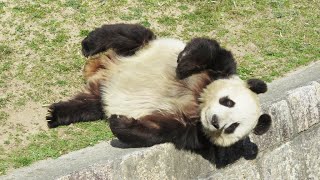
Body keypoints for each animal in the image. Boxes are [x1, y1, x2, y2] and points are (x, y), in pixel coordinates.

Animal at [46, 23, 272, 150]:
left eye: (232, 127)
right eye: (228, 102)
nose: (215, 121)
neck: (198, 102)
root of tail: (102, 70)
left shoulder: (192, 130)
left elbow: (157, 130)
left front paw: (119, 122)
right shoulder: (218, 72)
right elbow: (210, 49)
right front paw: (184, 63)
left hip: (98, 95)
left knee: (87, 105)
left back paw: (56, 114)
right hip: (139, 48)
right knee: (129, 34)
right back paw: (89, 44)